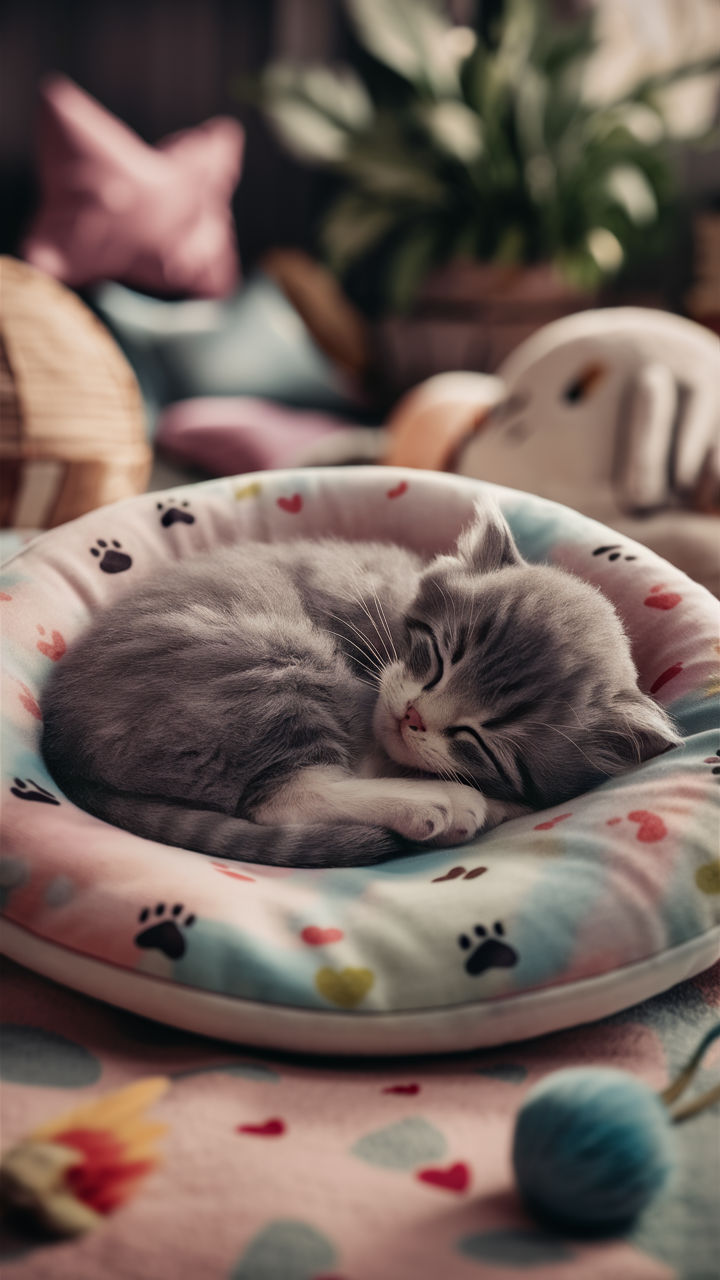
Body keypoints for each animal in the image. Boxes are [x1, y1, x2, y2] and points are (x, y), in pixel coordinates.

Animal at [40, 499, 676, 870]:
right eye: (438, 656)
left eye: (480, 737)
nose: (414, 717)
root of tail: (61, 748)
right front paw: (460, 796)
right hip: (275, 664)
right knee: (283, 798)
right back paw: (440, 804)